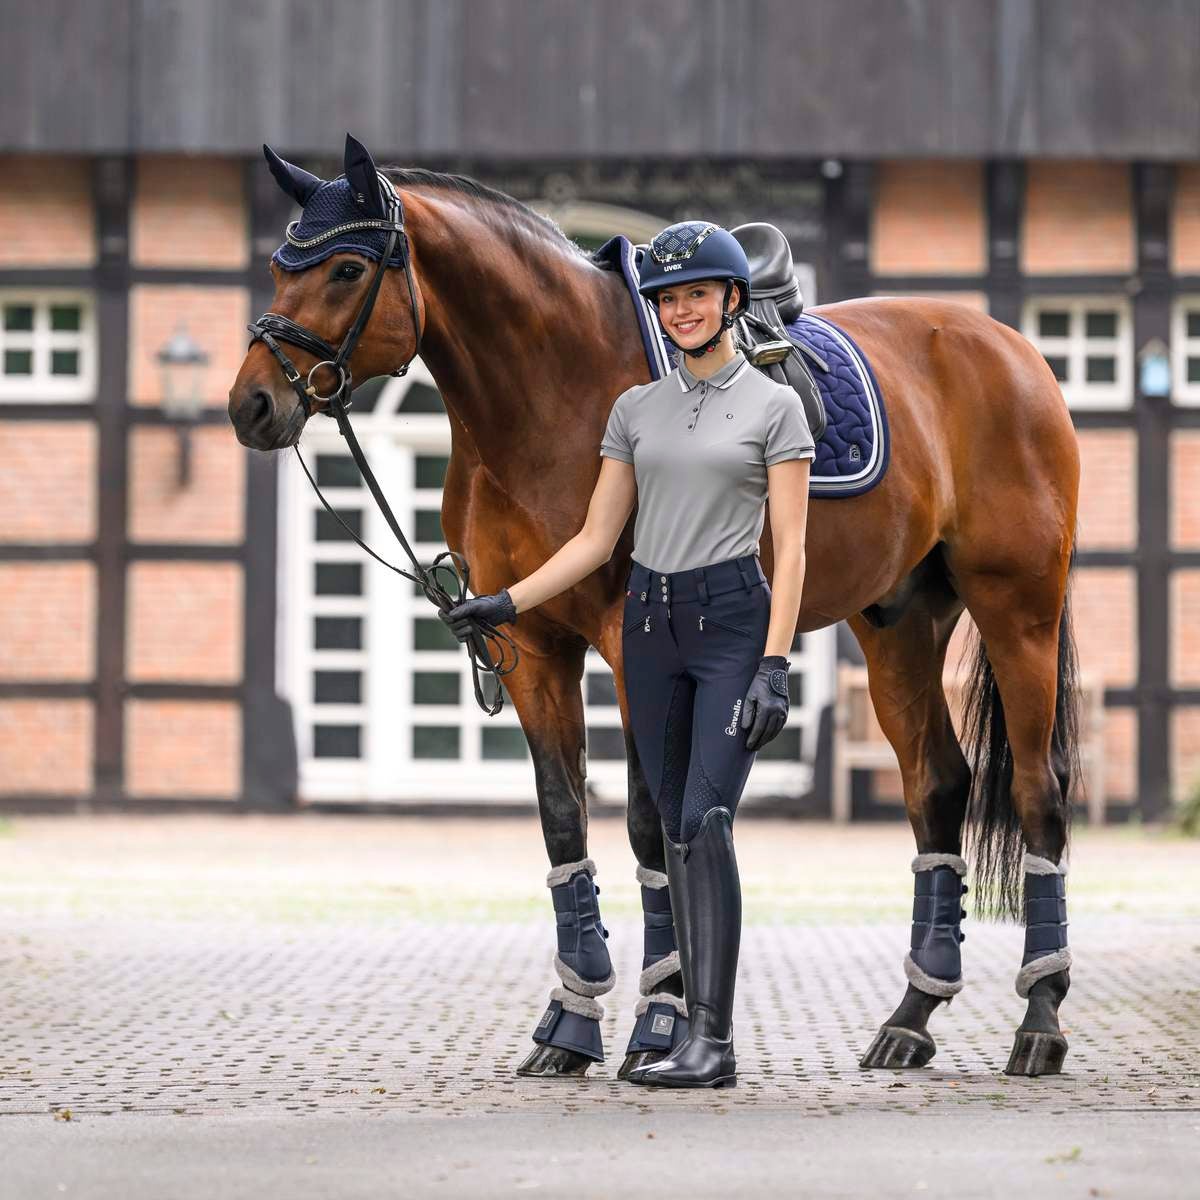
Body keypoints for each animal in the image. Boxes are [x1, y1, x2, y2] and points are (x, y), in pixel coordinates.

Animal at [228, 137, 1081, 1081]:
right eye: (279, 266)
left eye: (346, 268)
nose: (252, 405)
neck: (552, 392)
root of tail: (1011, 348)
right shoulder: (531, 645)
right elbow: (564, 820)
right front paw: (569, 1022)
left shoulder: (628, 646)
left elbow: (650, 823)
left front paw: (660, 1020)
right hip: (898, 624)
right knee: (937, 783)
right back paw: (911, 1018)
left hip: (1018, 609)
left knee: (1039, 790)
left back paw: (1039, 1019)